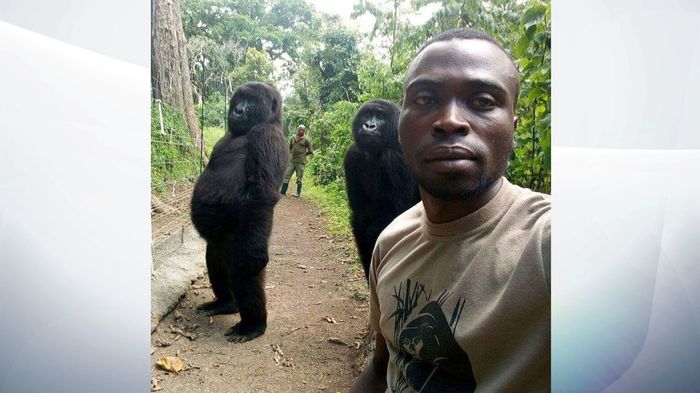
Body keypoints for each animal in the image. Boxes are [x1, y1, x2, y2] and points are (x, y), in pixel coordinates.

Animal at [189, 81, 288, 342]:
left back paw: (253, 325)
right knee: (214, 259)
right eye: (239, 99)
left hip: (241, 241)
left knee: (243, 273)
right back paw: (225, 303)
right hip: (219, 244)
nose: (238, 110)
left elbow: (260, 197)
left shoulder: (266, 136)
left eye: (251, 102)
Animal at [342, 99, 418, 280]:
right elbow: (360, 219)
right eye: (368, 114)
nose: (369, 125)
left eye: (381, 117)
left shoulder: (394, 159)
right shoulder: (352, 155)